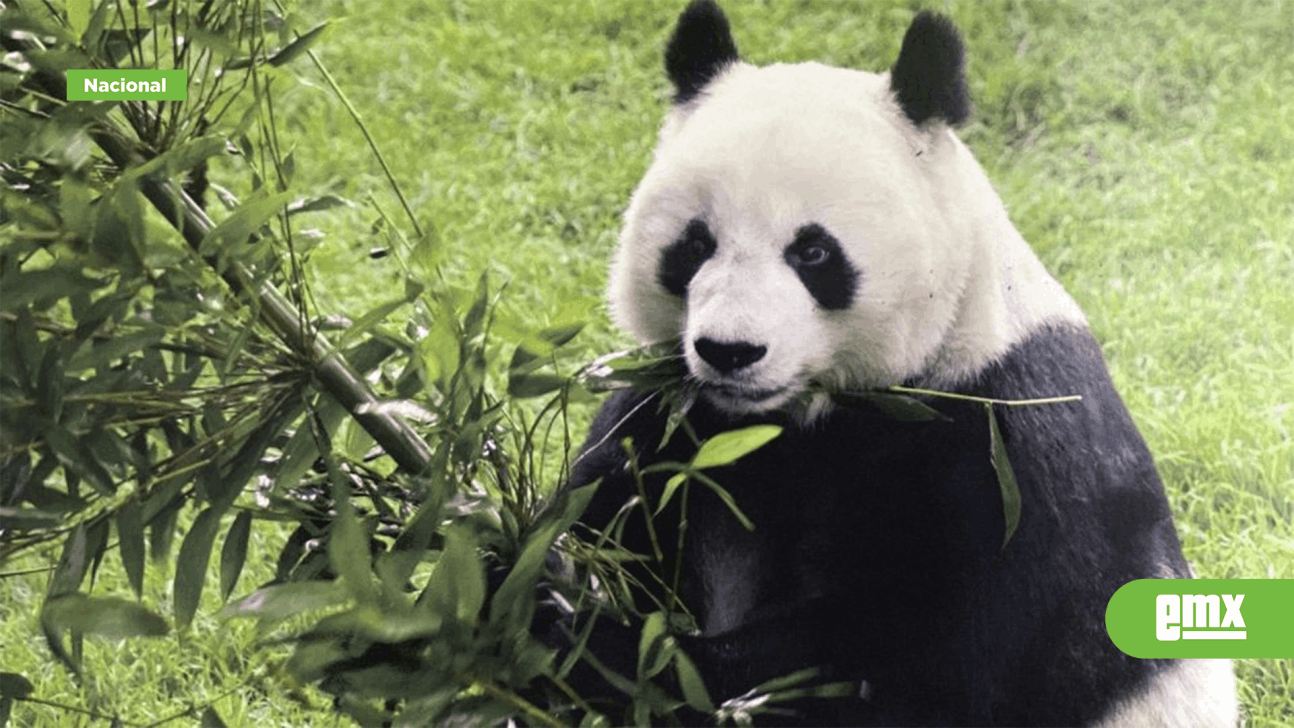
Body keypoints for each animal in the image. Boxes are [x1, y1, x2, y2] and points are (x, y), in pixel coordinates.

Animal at [562, 1, 1238, 725]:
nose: (730, 351)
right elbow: (606, 511)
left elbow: (919, 661)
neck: (799, 415)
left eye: (813, 253)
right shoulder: (676, 420)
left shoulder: (1005, 451)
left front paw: (607, 645)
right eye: (693, 245)